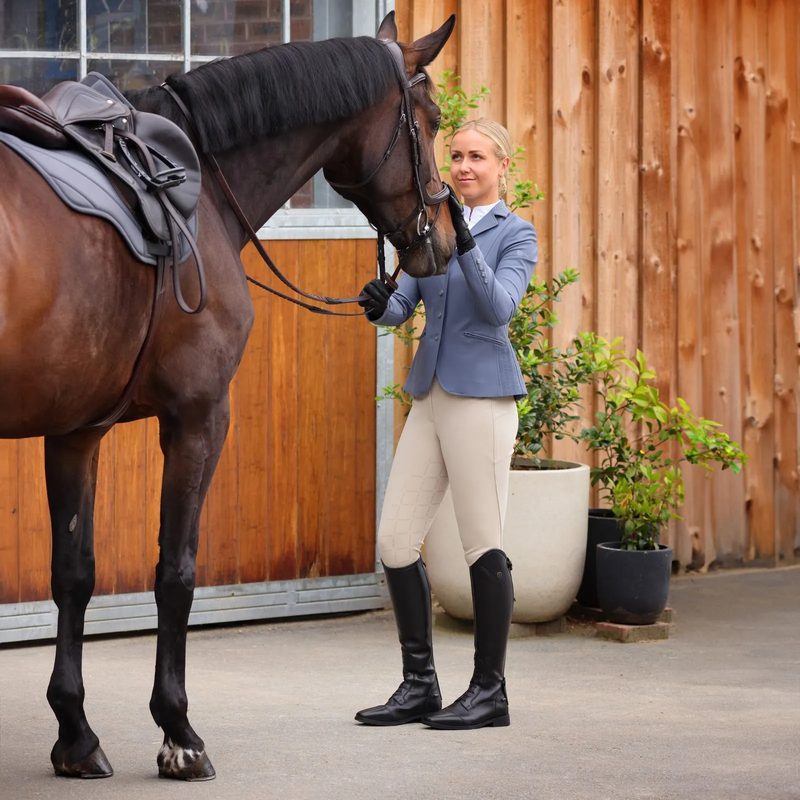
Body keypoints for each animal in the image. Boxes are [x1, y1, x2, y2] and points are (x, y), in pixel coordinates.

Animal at [0, 11, 455, 781]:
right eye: (431, 119)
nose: (449, 239)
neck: (201, 186)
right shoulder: (199, 419)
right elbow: (175, 572)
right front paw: (179, 731)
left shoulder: (76, 430)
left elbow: (74, 574)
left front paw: (76, 733)